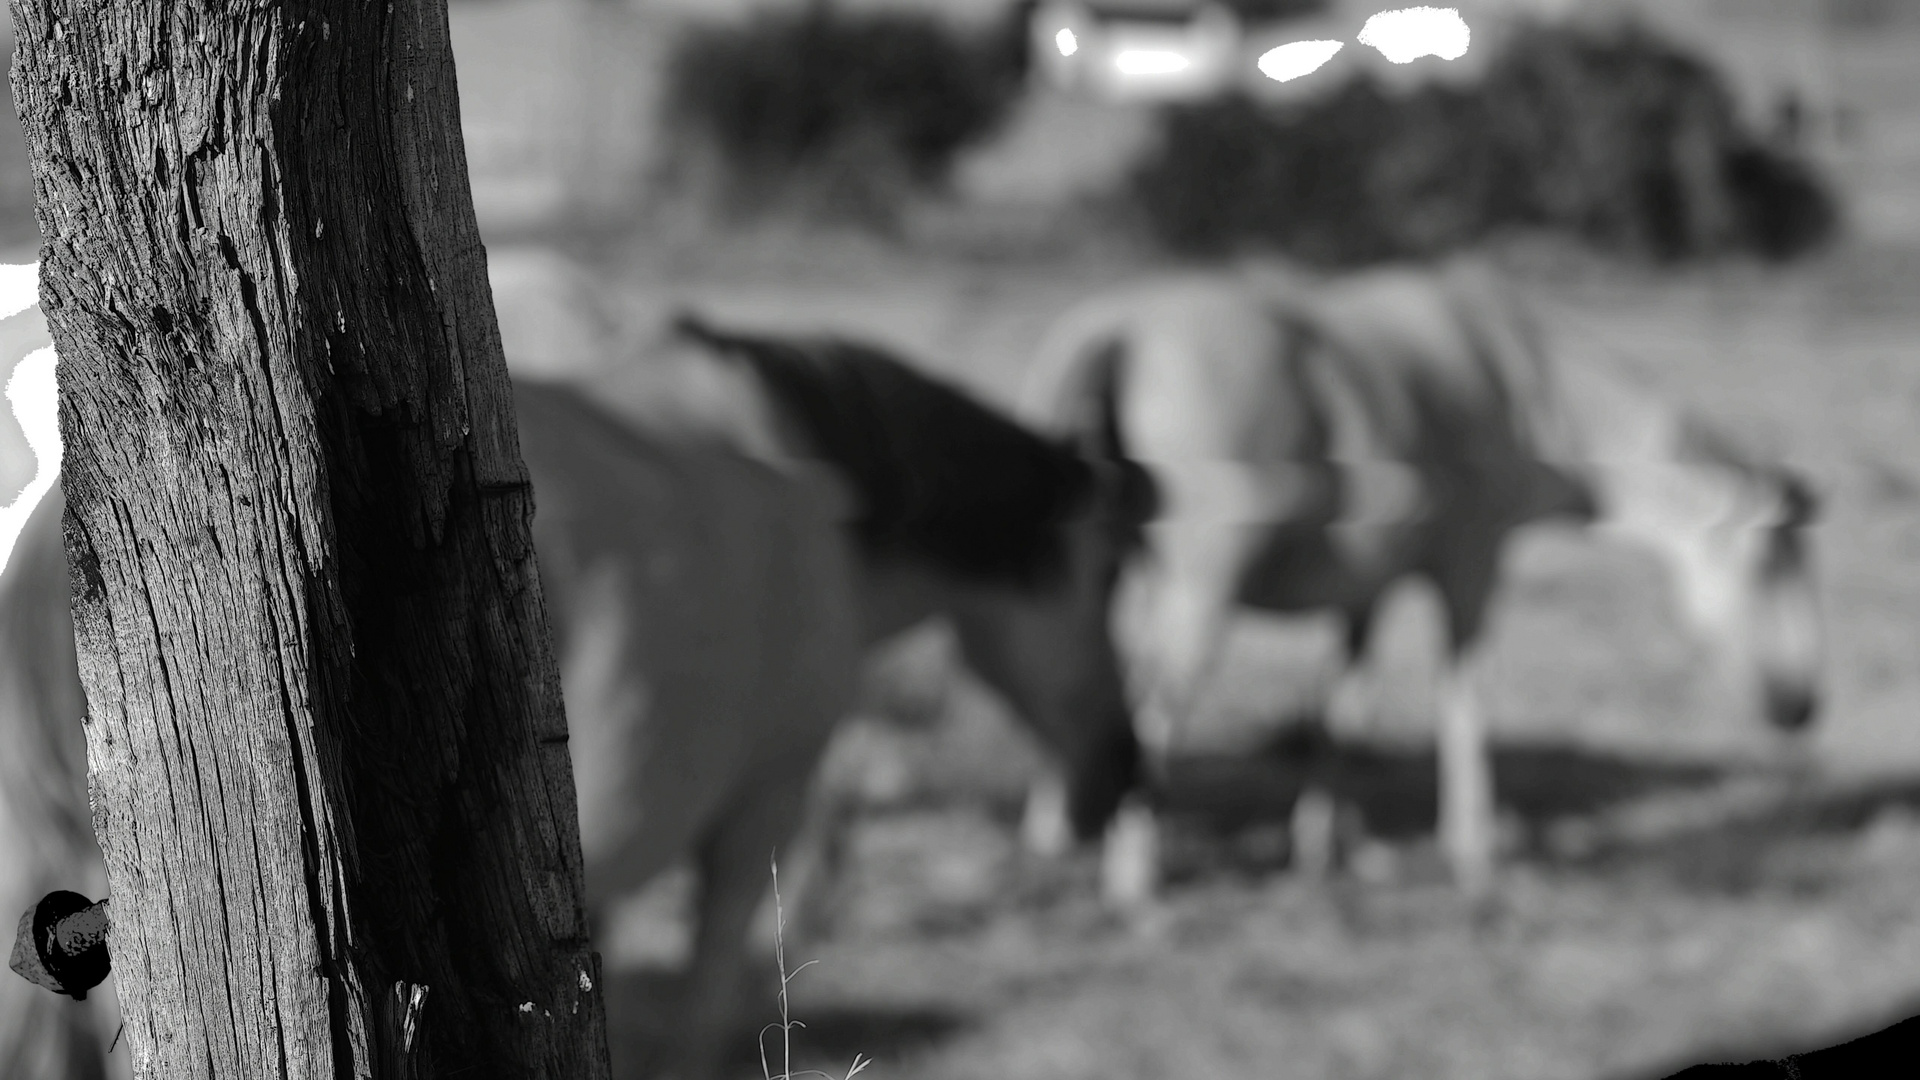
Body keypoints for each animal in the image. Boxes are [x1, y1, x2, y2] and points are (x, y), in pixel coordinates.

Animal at [1021, 259, 1812, 899]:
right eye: (1772, 561)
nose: (1803, 706)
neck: (1526, 386)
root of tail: (1118, 333)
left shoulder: (1365, 590)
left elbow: (1339, 715)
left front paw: (1321, 849)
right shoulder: (1471, 565)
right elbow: (1464, 701)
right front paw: (1473, 853)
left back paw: (1055, 833)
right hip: (1200, 593)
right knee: (1151, 709)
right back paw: (1134, 875)